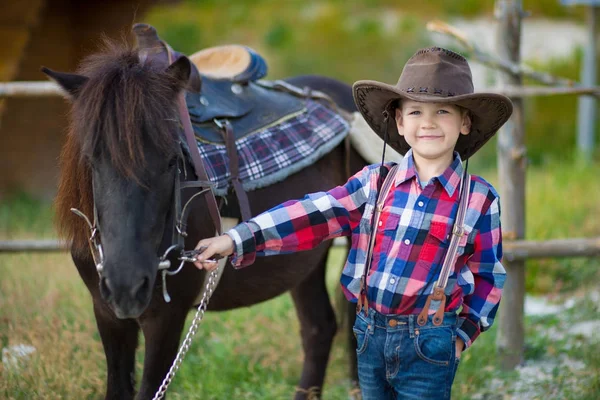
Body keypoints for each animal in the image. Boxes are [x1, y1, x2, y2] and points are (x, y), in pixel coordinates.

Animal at [44, 37, 366, 400]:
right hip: (306, 258)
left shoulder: (166, 317)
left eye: (173, 160)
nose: (127, 284)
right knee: (318, 327)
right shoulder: (107, 312)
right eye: (91, 159)